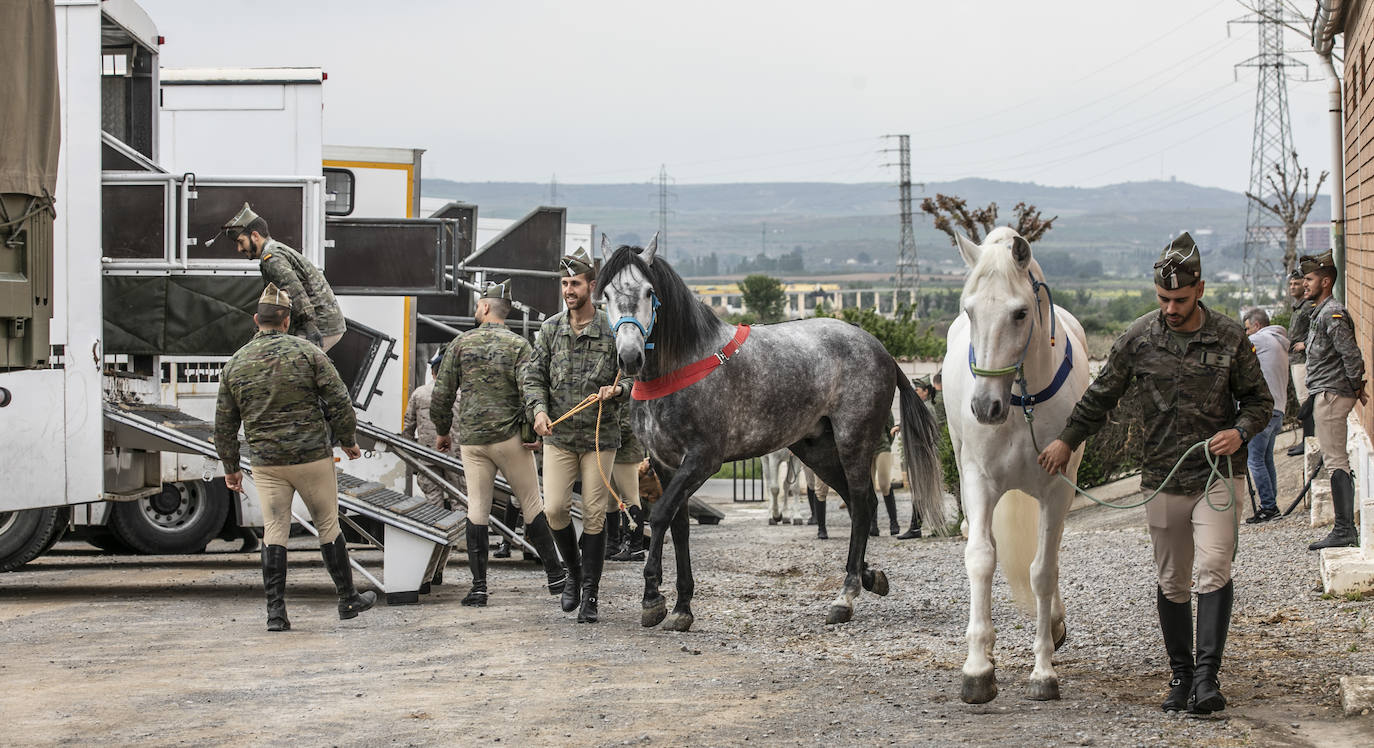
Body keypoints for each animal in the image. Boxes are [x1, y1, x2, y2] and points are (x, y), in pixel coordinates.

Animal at [596, 235, 939, 632]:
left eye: (650, 292)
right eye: (606, 294)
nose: (630, 357)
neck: (682, 367)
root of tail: (879, 348)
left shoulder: (702, 459)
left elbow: (661, 514)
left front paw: (653, 598)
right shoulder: (665, 463)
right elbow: (679, 525)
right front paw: (681, 606)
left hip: (853, 441)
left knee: (863, 501)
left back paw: (846, 594)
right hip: (816, 449)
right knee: (858, 505)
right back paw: (870, 576)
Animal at [939, 225, 1088, 704]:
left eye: (1020, 313)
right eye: (969, 310)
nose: (985, 407)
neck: (1023, 401)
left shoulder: (1056, 490)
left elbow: (1042, 571)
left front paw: (1043, 671)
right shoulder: (980, 483)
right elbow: (981, 557)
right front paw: (977, 669)